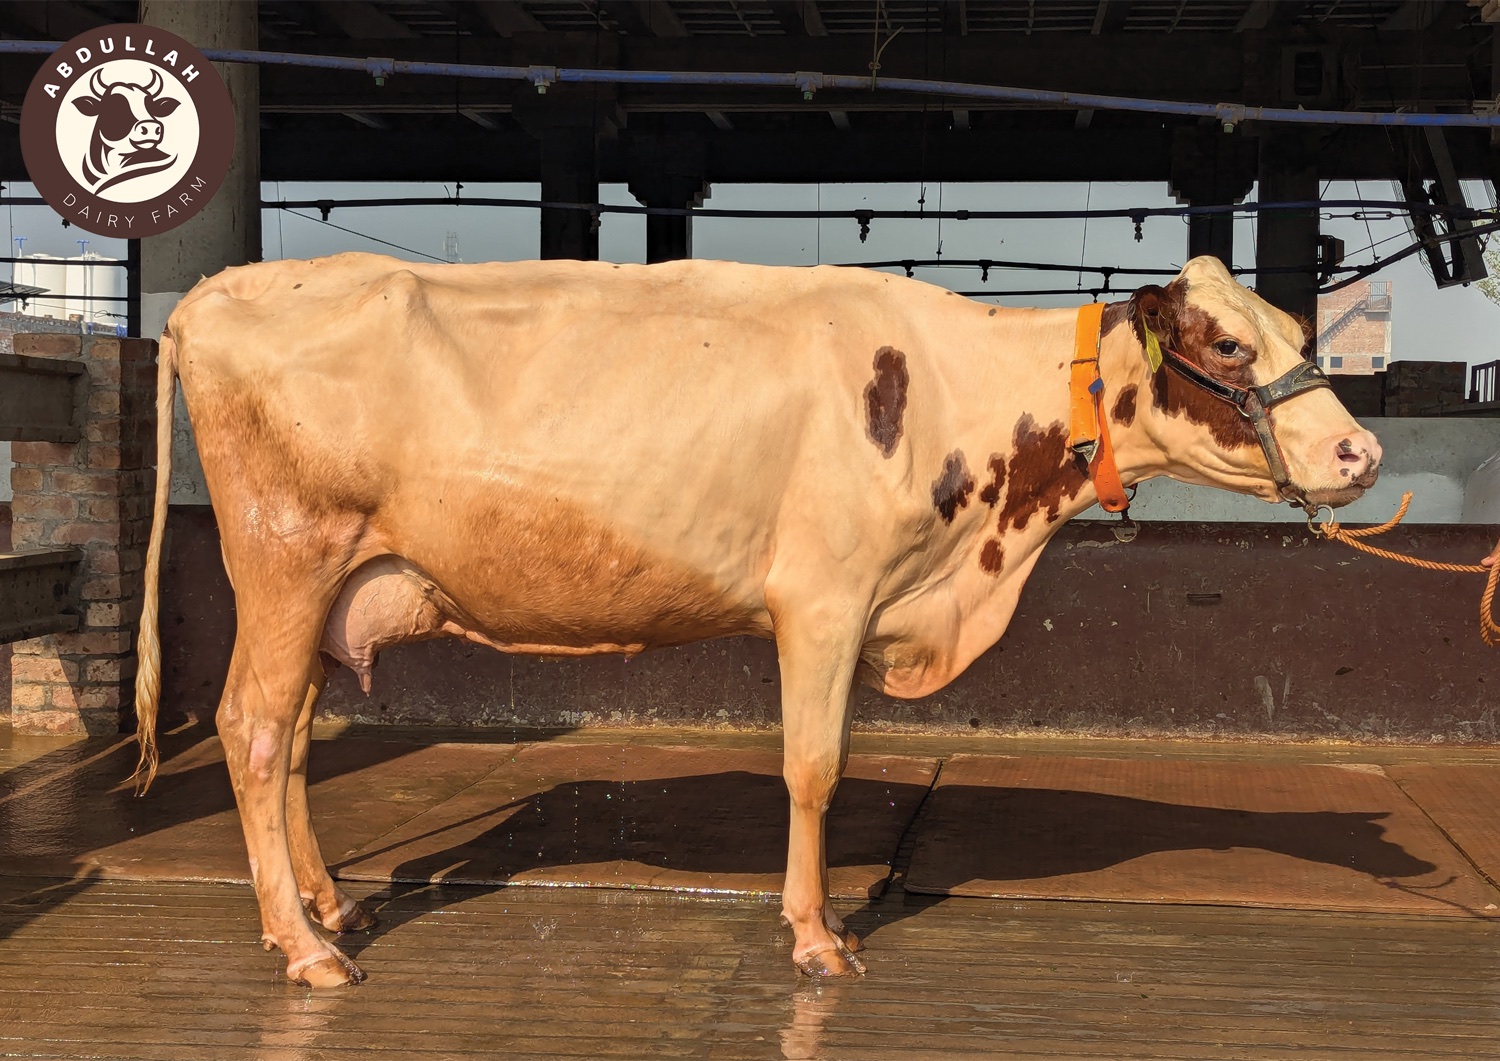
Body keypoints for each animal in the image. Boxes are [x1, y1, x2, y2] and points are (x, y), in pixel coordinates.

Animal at [131, 253, 1380, 988]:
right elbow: (814, 767)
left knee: (294, 730)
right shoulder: (824, 595)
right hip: (284, 554)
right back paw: (303, 946)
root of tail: (217, 290)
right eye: (1232, 345)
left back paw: (326, 906)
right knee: (250, 727)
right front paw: (818, 934)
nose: (1360, 450)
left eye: (1293, 323)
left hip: (326, 579)